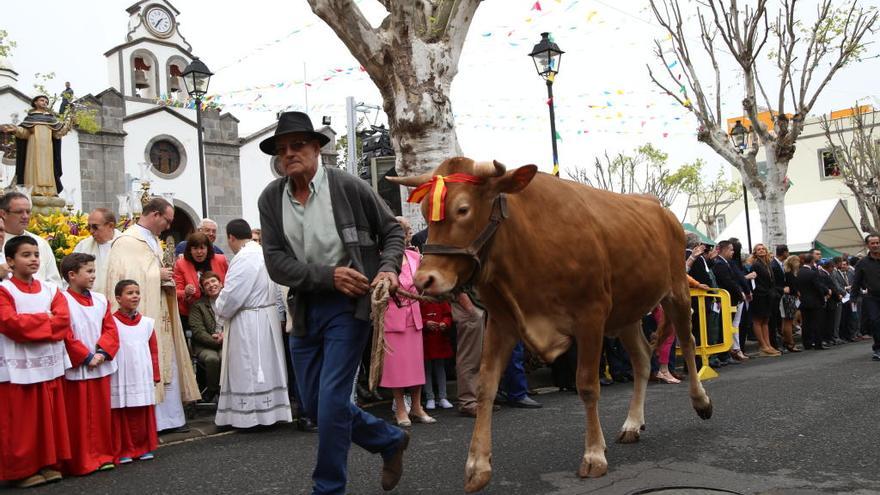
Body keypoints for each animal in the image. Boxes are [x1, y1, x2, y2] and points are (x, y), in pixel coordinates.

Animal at [392, 158, 716, 492]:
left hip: (676, 291)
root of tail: (660, 209)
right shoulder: (502, 321)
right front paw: (477, 466)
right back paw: (632, 424)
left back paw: (701, 401)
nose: (423, 279)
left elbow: (587, 385)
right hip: (626, 310)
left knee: (687, 342)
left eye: (463, 209)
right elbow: (486, 387)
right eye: (426, 211)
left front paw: (594, 455)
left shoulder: (591, 314)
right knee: (641, 358)